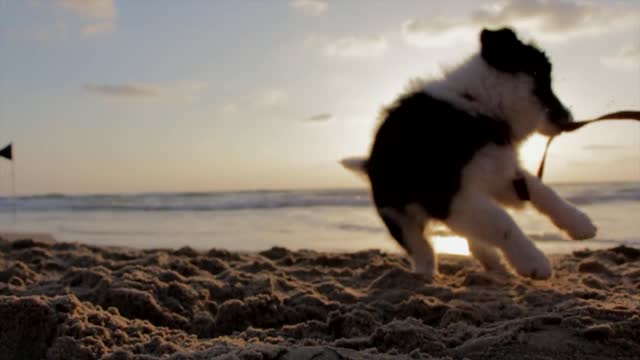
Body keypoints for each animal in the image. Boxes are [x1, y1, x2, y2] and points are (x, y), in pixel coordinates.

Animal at [342, 28, 596, 282]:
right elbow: (503, 222)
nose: (570, 119)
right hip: (397, 211)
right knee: (421, 246)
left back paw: (494, 261)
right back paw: (426, 273)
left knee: (469, 236)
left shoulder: (498, 176)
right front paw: (534, 261)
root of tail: (368, 164)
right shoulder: (451, 195)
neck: (481, 107)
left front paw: (580, 223)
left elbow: (541, 191)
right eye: (541, 80)